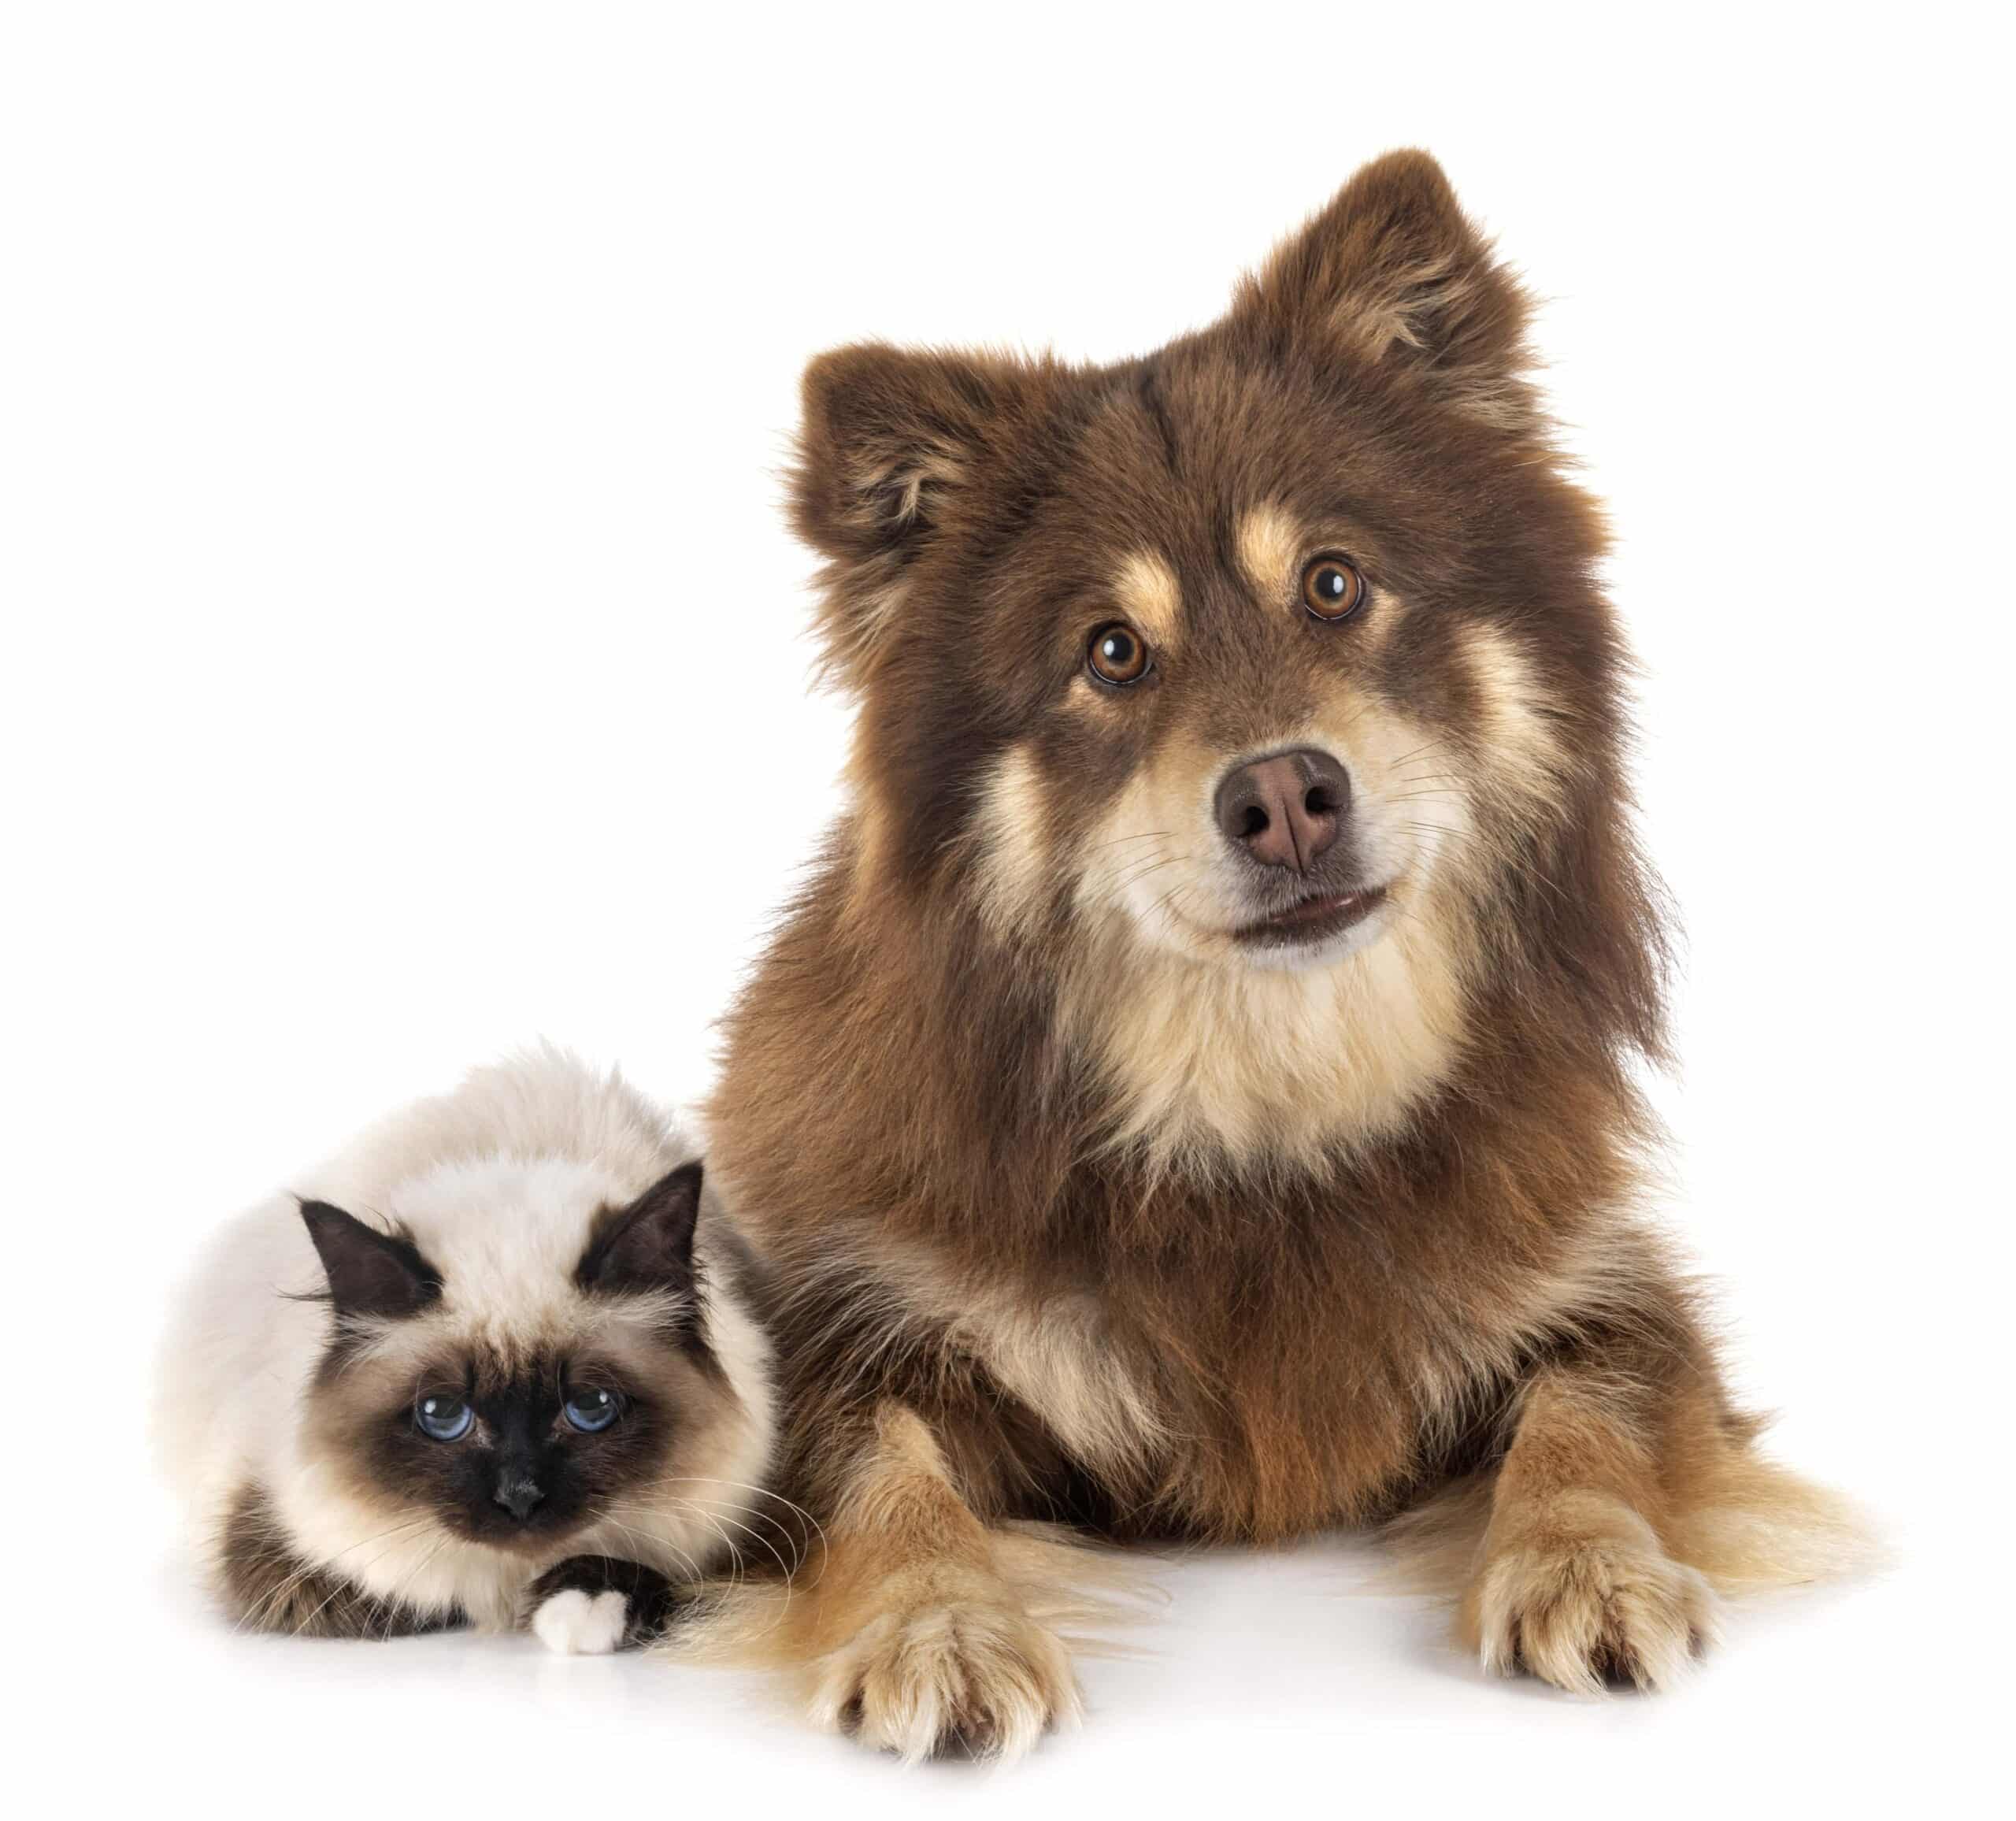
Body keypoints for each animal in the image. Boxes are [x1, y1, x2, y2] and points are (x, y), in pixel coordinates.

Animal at [155, 1040, 778, 1653]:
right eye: (442, 1415)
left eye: (591, 1407)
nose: (519, 1497)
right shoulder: (275, 1526)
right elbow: (400, 1588)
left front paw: (581, 1605)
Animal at [706, 149, 1855, 1758]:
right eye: (1112, 653)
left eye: (1331, 583)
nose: (1287, 794)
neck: (1263, 1118)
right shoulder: (846, 1333)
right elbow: (882, 1486)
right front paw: (937, 1623)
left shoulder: (1596, 1285)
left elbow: (1595, 1420)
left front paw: (1588, 1562)